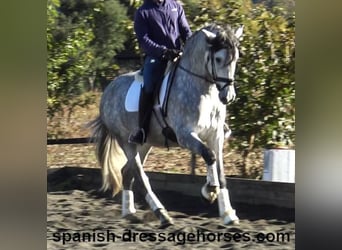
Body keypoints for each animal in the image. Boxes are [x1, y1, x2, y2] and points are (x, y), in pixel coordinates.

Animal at [88, 23, 243, 229]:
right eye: (218, 59)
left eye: (236, 58)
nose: (228, 96)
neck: (203, 90)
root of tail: (107, 91)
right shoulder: (185, 135)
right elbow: (209, 156)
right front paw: (209, 190)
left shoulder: (215, 135)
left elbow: (219, 169)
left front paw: (227, 213)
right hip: (126, 142)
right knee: (140, 176)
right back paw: (162, 215)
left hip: (144, 143)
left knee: (127, 173)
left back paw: (129, 212)